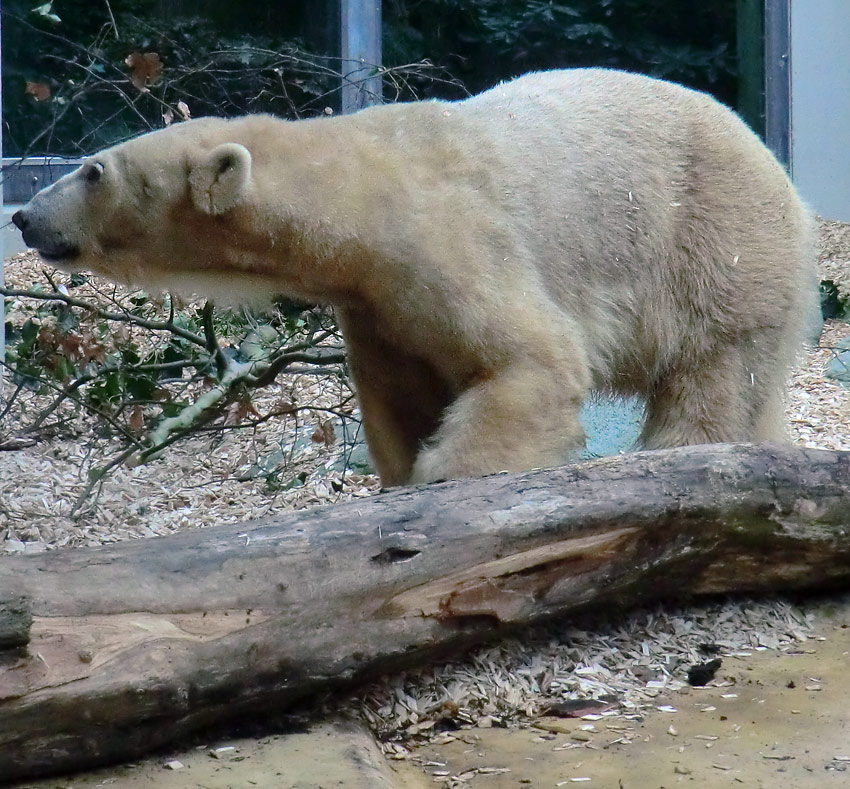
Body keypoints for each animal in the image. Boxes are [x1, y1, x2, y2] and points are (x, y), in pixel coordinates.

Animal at [13, 69, 812, 486]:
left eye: (93, 169)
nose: (23, 216)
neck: (365, 192)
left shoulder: (452, 238)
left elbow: (534, 360)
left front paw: (446, 482)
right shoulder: (379, 304)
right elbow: (405, 396)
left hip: (716, 243)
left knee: (714, 371)